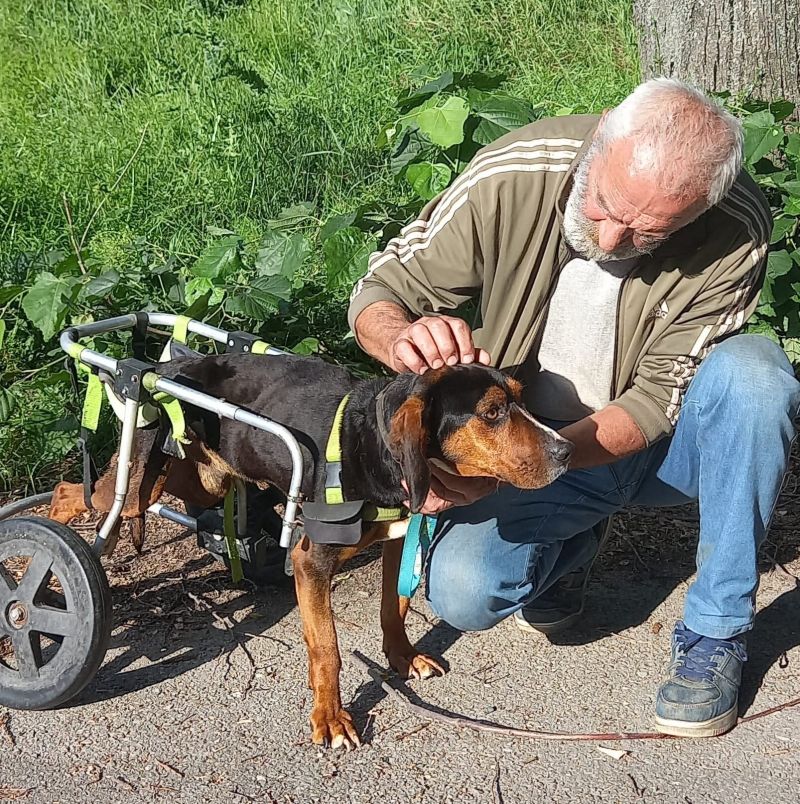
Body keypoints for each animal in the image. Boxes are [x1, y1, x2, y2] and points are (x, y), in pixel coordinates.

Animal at [50, 354, 572, 752]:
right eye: (492, 413)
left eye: (521, 401)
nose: (566, 451)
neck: (374, 445)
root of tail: (168, 365)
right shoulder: (310, 561)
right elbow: (327, 648)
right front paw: (331, 715)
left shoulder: (396, 539)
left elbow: (393, 610)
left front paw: (402, 658)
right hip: (146, 481)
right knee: (75, 493)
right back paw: (49, 553)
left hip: (199, 479)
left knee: (81, 491)